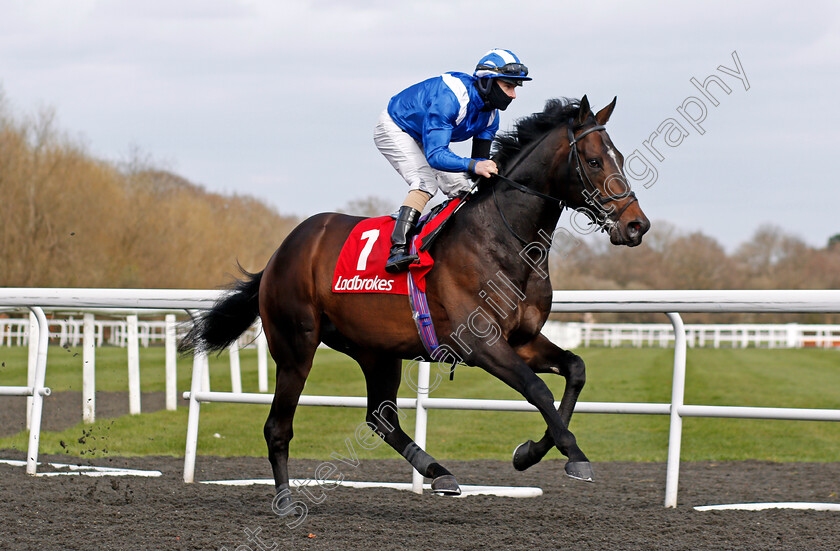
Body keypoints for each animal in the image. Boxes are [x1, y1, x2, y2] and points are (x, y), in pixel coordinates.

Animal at [179, 95, 648, 508]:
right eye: (593, 161)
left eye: (621, 159)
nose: (636, 225)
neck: (503, 240)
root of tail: (281, 253)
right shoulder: (480, 345)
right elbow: (537, 389)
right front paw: (574, 455)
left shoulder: (522, 339)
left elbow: (575, 370)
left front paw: (530, 452)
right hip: (296, 348)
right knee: (278, 427)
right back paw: (285, 500)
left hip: (376, 351)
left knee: (380, 419)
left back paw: (439, 473)